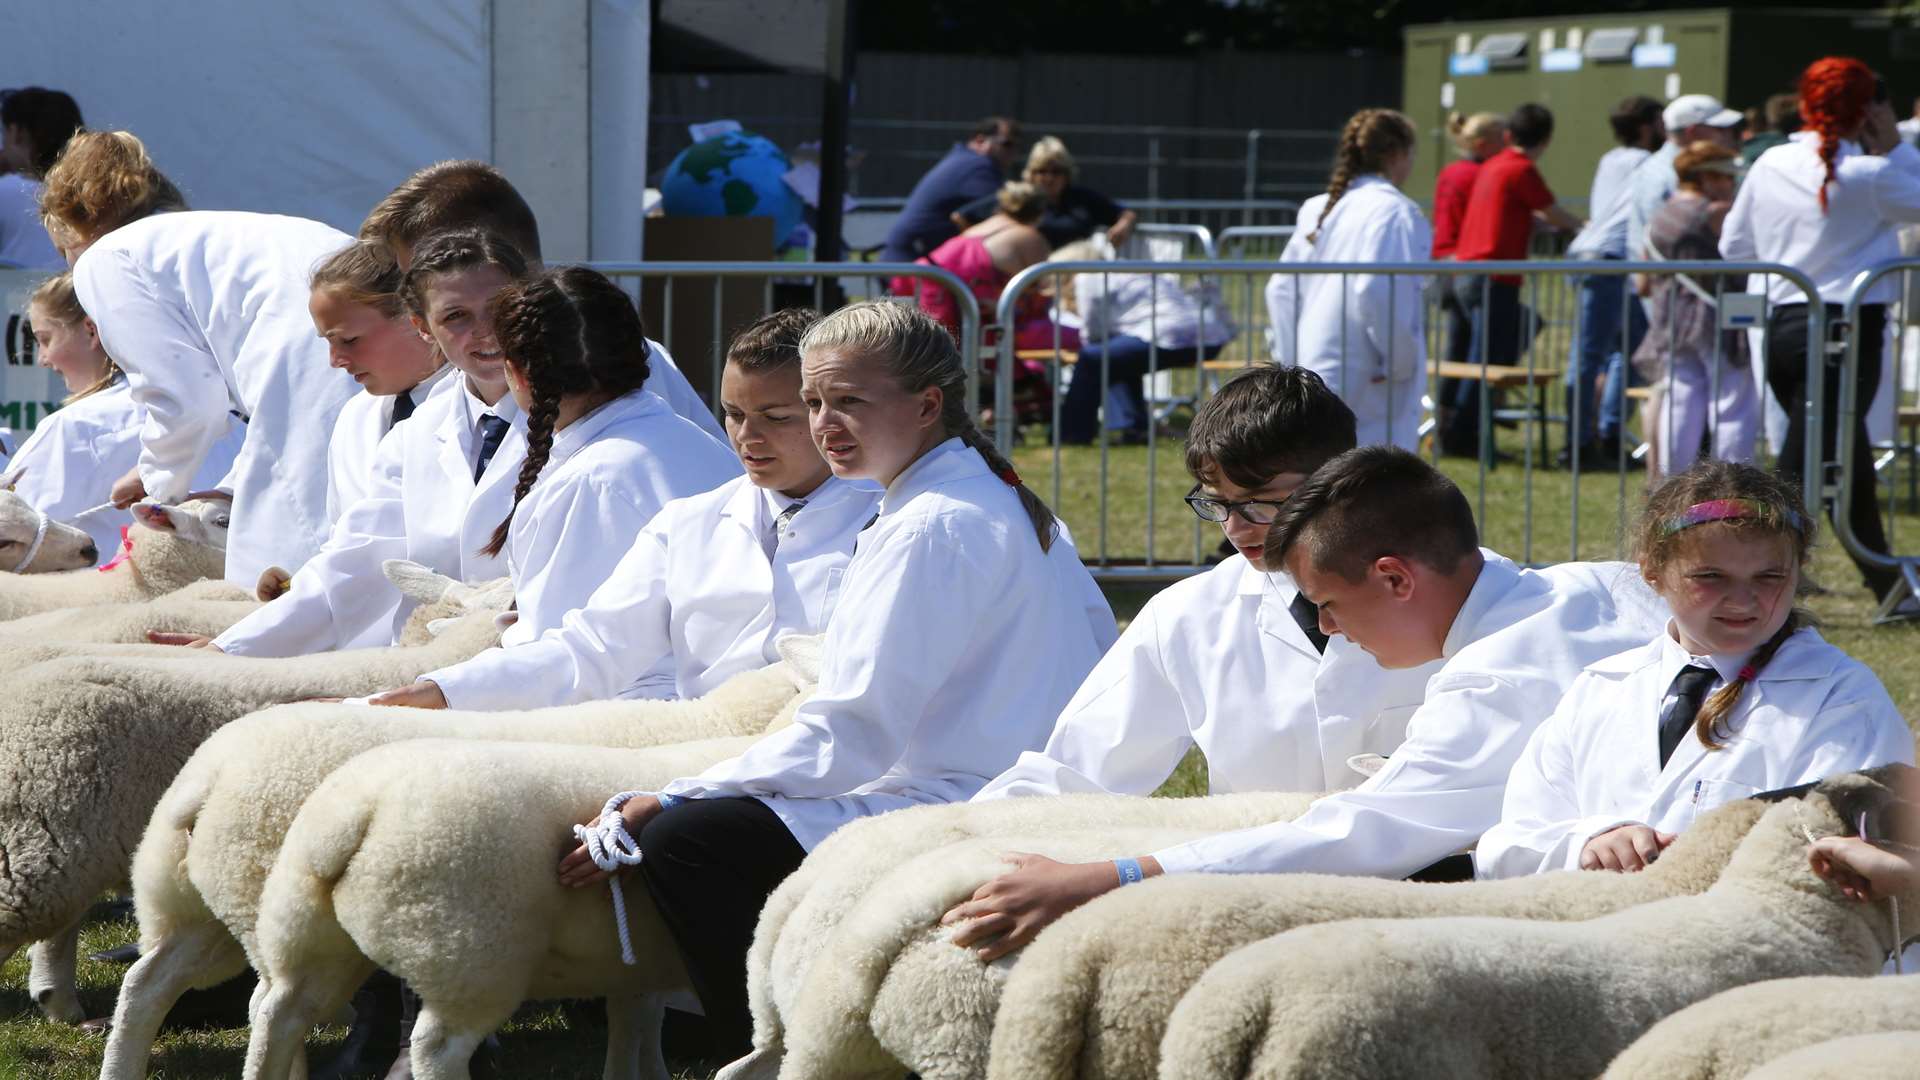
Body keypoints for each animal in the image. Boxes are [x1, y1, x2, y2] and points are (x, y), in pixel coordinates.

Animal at [241, 734, 787, 1076]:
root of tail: (355, 812)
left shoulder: (635, 957)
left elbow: (636, 1023)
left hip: (306, 928)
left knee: (277, 1012)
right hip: (469, 952)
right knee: (435, 1046)